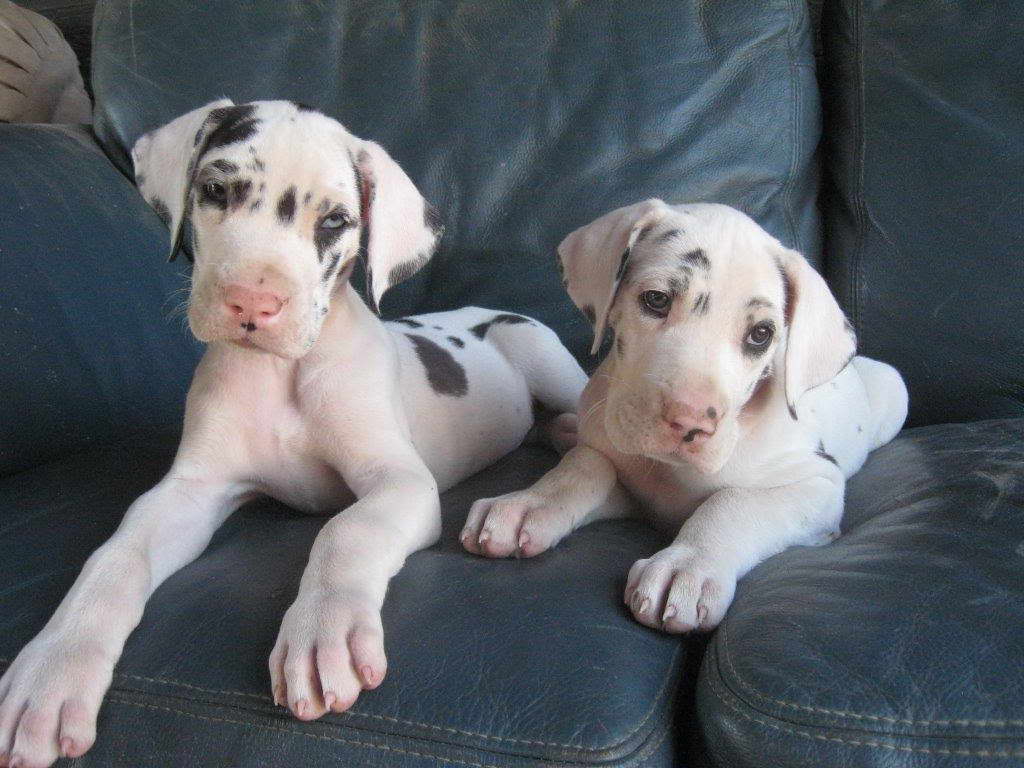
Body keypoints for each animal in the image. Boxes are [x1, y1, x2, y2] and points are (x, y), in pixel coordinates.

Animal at [0, 102, 589, 768]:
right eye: (216, 191)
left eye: (335, 221)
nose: (251, 302)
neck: (279, 373)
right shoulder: (188, 491)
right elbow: (114, 556)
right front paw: (52, 668)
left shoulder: (400, 482)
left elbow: (346, 530)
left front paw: (321, 632)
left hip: (542, 354)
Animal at [460, 199, 909, 638]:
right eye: (656, 300)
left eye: (761, 334)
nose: (691, 423)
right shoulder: (631, 488)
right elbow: (586, 464)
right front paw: (528, 504)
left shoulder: (816, 485)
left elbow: (733, 502)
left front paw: (688, 566)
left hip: (895, 389)